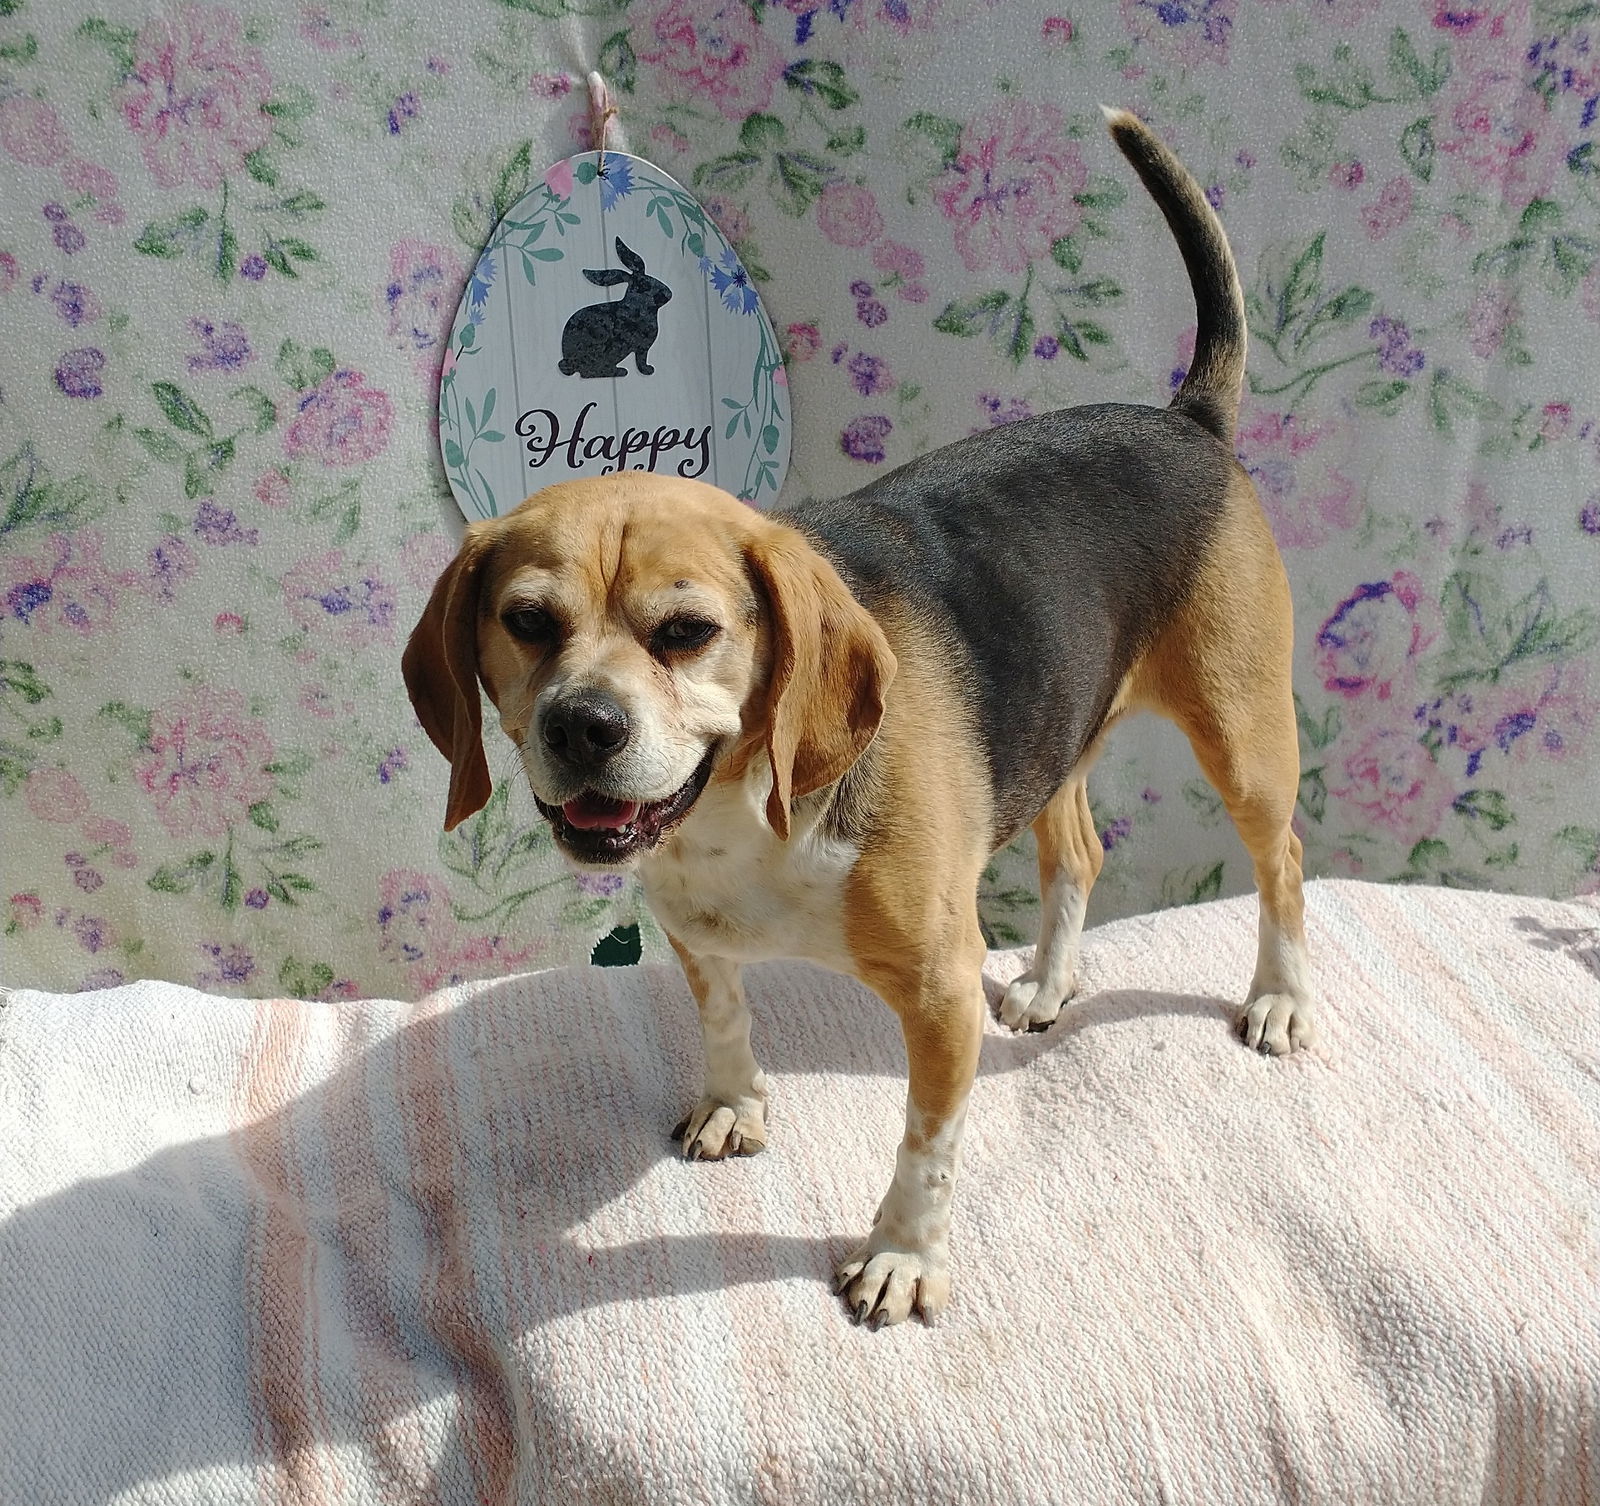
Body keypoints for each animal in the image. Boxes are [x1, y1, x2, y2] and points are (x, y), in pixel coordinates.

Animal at [400, 108, 1312, 1325]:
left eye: (685, 630)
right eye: (527, 620)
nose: (582, 726)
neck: (742, 813)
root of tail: (1187, 420)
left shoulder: (937, 994)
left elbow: (926, 1146)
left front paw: (902, 1257)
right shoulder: (696, 933)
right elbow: (725, 1017)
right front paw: (735, 1103)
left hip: (1242, 736)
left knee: (1283, 860)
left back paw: (1279, 999)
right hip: (1058, 736)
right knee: (1078, 852)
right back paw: (1050, 981)